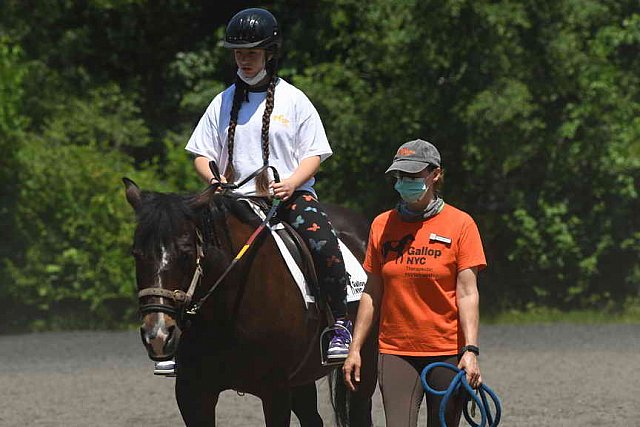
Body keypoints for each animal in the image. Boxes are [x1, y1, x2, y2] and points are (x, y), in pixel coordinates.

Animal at [123, 179, 378, 426]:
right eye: (136, 253)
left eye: (185, 252)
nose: (158, 334)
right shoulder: (192, 393)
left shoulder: (275, 390)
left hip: (363, 363)